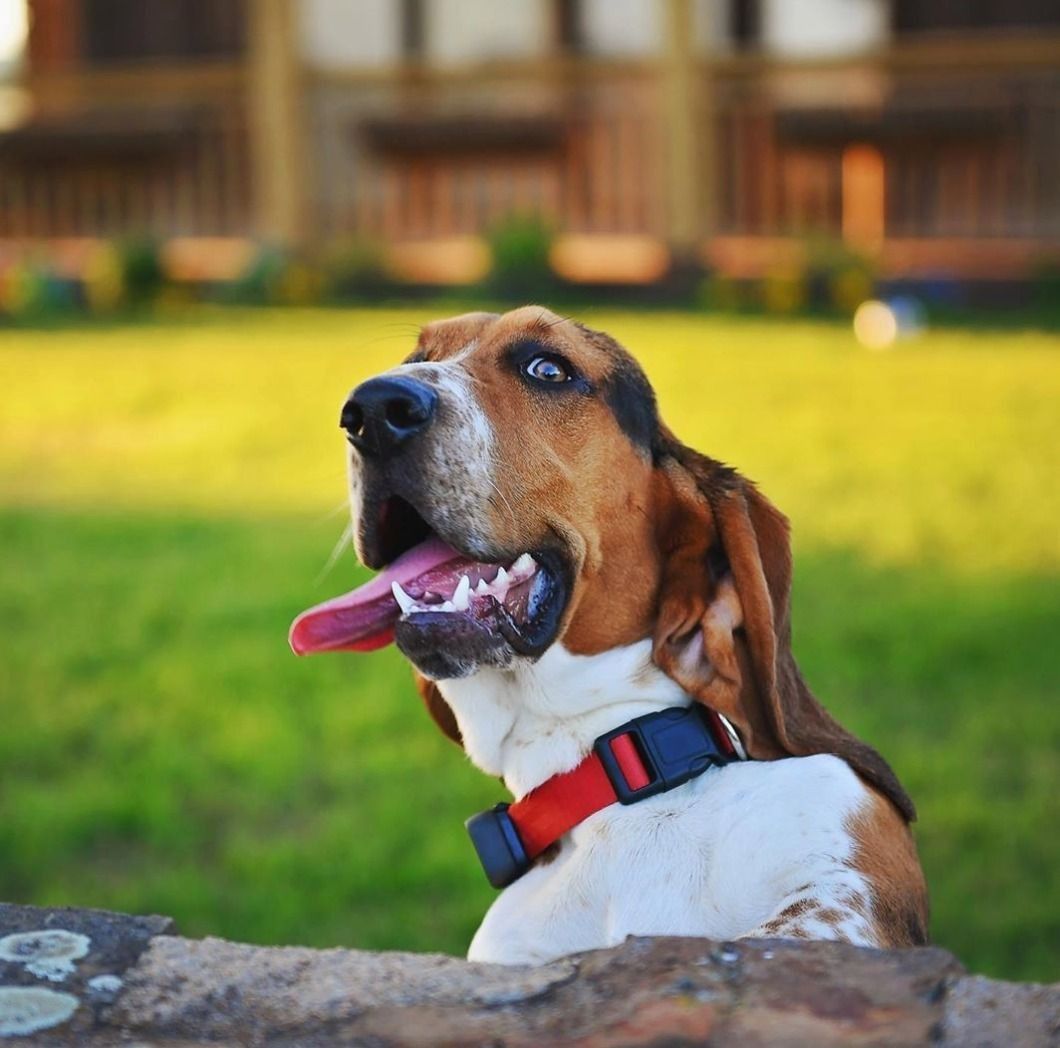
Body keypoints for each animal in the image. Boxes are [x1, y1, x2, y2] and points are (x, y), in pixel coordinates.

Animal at [290, 305, 928, 966]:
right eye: (417, 359)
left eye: (548, 369)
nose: (370, 409)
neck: (615, 771)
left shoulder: (846, 878)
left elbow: (782, 939)